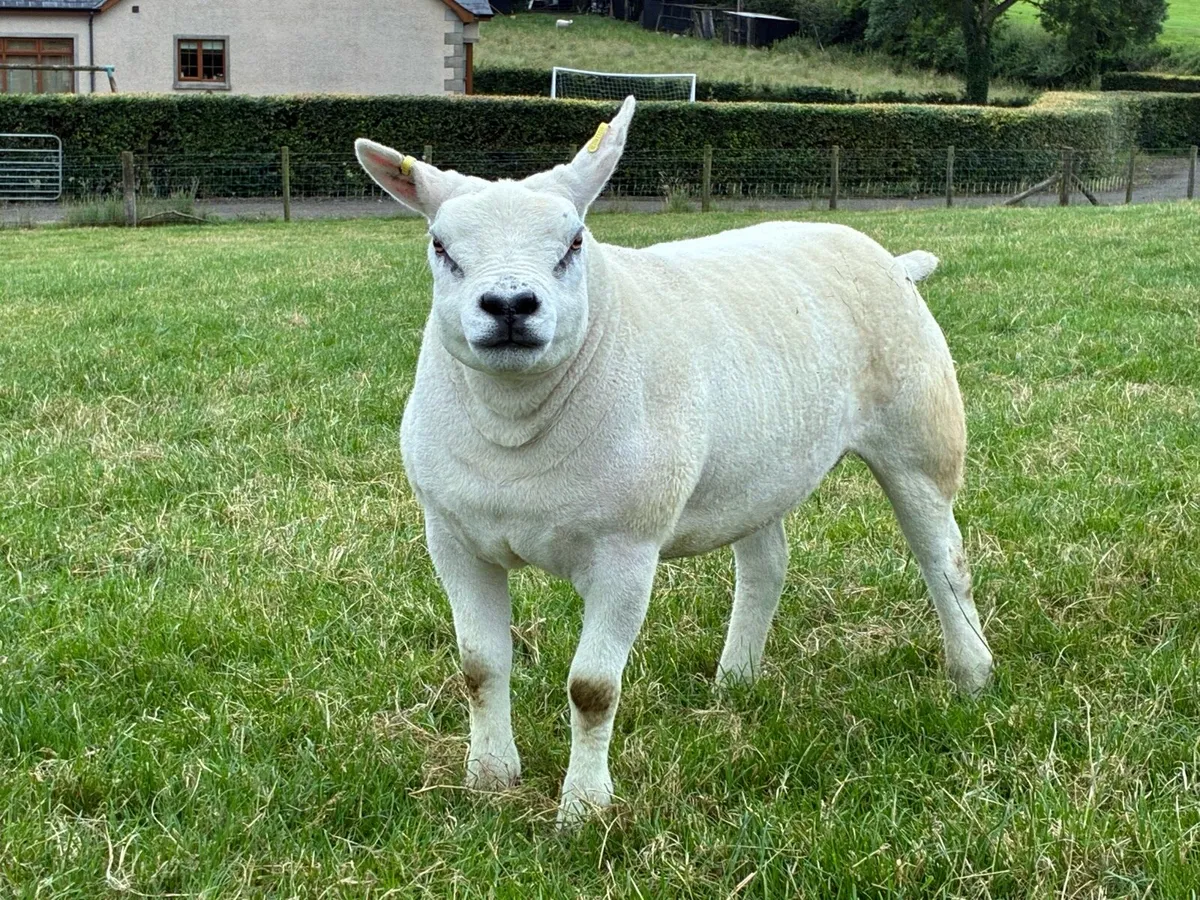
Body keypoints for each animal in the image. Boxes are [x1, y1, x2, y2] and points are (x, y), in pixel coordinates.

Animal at [354, 96, 994, 826]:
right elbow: (480, 668)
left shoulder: (625, 549)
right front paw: (489, 780)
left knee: (944, 560)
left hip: (920, 433)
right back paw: (735, 680)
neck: (516, 433)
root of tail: (893, 259)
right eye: (441, 247)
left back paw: (973, 673)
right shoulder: (454, 539)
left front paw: (584, 809)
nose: (510, 306)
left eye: (575, 243)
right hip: (756, 469)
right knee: (767, 565)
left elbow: (592, 689)